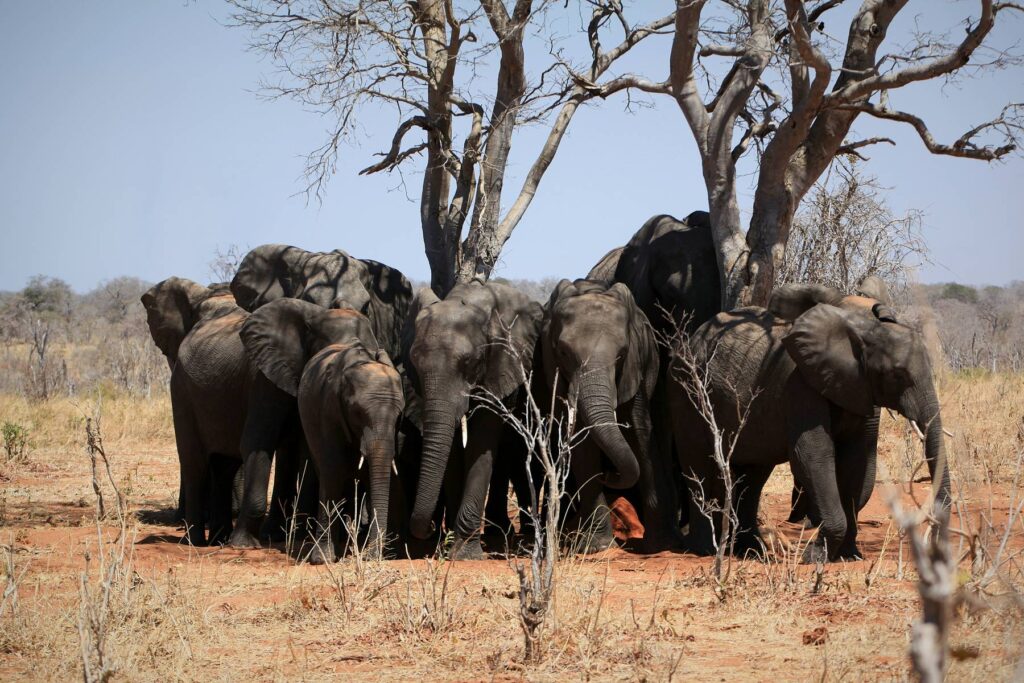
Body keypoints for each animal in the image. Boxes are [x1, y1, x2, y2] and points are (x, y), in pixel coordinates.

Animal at [239, 299, 404, 562]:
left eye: (399, 416)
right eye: (357, 412)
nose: (372, 557)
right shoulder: (328, 407)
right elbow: (333, 466)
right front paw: (324, 559)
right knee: (327, 468)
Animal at [403, 280, 543, 559]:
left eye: (469, 361)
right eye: (414, 362)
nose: (430, 527)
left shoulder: (501, 364)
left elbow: (481, 441)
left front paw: (465, 553)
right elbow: (453, 448)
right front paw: (452, 547)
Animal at [540, 279, 668, 552]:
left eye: (621, 354)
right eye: (563, 352)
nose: (610, 475)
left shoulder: (635, 367)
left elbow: (639, 432)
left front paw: (658, 545)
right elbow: (583, 442)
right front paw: (598, 546)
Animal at [668, 284, 951, 563]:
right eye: (897, 375)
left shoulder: (856, 387)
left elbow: (857, 458)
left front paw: (849, 556)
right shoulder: (798, 384)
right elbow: (813, 454)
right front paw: (813, 557)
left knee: (754, 475)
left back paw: (751, 552)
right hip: (687, 392)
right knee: (699, 465)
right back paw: (706, 550)